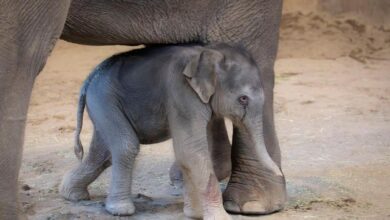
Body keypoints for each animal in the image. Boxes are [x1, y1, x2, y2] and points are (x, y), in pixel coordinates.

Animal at [59, 43, 278, 219]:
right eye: (243, 99)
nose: (280, 173)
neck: (209, 52)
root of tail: (89, 78)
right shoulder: (182, 94)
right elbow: (190, 150)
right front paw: (218, 217)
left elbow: (191, 151)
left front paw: (195, 214)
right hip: (104, 99)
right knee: (125, 146)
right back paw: (121, 210)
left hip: (102, 103)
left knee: (102, 153)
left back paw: (72, 195)